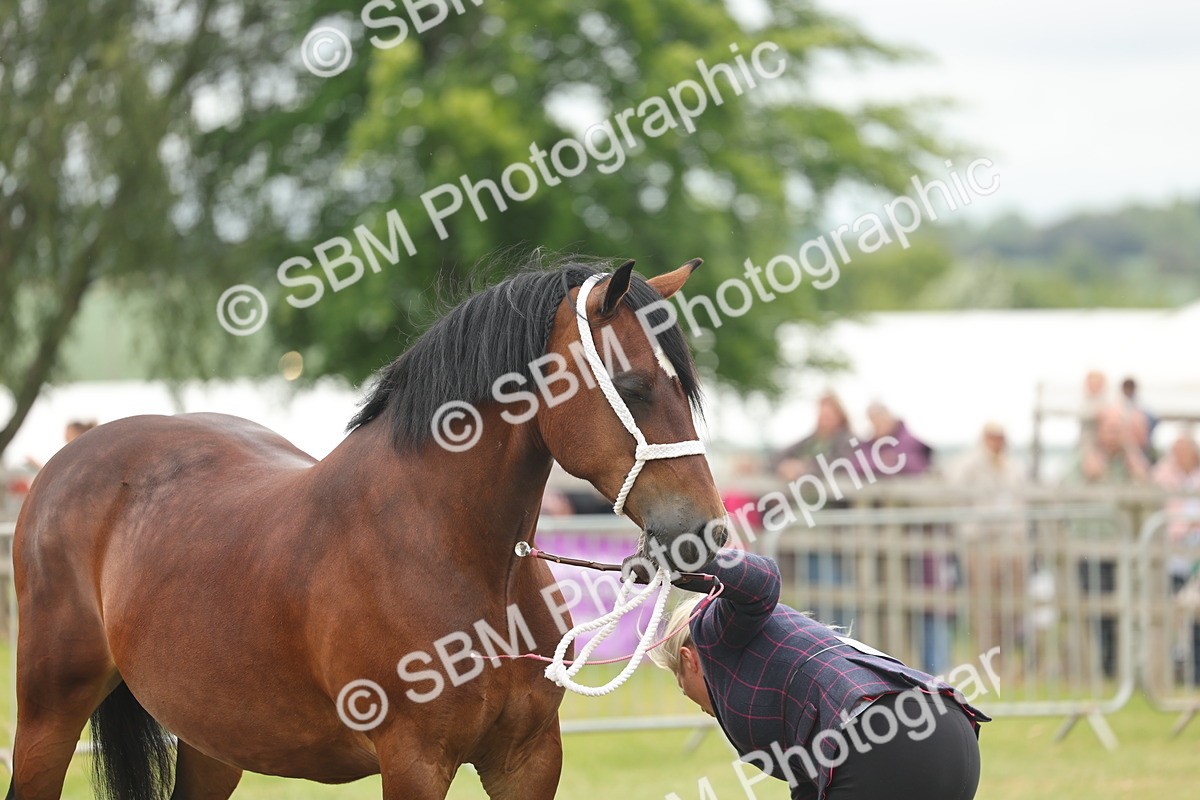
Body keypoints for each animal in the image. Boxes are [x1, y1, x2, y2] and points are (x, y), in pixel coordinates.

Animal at [8, 255, 728, 800]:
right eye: (633, 386)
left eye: (685, 386)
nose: (705, 532)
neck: (458, 552)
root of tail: (68, 462)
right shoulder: (414, 761)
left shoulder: (528, 758)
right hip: (49, 714)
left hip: (215, 736)